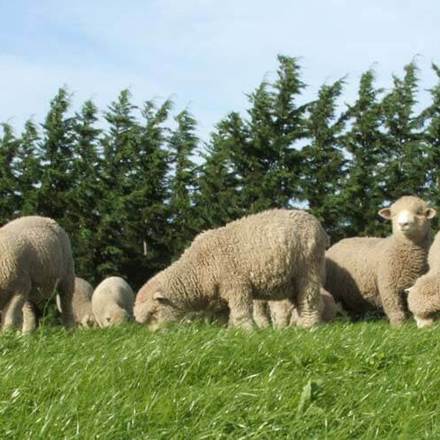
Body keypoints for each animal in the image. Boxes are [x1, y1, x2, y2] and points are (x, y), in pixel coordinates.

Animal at [132, 209, 328, 330]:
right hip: (293, 280)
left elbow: (241, 313)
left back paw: (308, 328)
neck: (199, 269)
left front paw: (249, 333)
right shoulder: (219, 296)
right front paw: (227, 334)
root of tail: (317, 224)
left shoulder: (236, 284)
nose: (156, 335)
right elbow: (224, 318)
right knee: (300, 303)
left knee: (310, 302)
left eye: (153, 313)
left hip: (309, 269)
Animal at [324, 196, 434, 326]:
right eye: (394, 214)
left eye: (418, 213)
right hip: (333, 289)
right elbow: (395, 310)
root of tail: (338, 243)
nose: (403, 224)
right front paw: (399, 327)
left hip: (350, 293)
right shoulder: (389, 287)